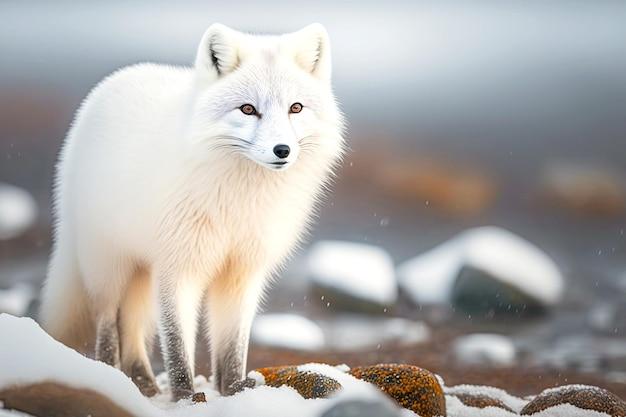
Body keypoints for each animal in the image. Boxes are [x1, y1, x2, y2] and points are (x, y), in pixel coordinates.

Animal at [40, 23, 342, 400]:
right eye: (247, 109)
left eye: (296, 108)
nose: (282, 150)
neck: (239, 202)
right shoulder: (178, 266)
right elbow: (177, 344)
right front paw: (186, 397)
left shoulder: (241, 271)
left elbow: (232, 346)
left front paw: (233, 389)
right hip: (108, 264)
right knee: (108, 321)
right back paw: (110, 373)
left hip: (142, 273)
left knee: (133, 327)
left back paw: (142, 381)